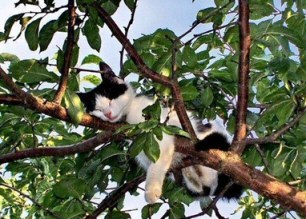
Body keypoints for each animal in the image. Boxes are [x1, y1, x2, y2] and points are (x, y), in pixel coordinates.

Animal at [77, 62, 244, 204]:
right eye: (98, 109)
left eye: (111, 99)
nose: (108, 114)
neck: (128, 115)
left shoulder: (158, 127)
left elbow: (157, 162)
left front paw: (152, 190)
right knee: (203, 188)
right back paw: (190, 174)